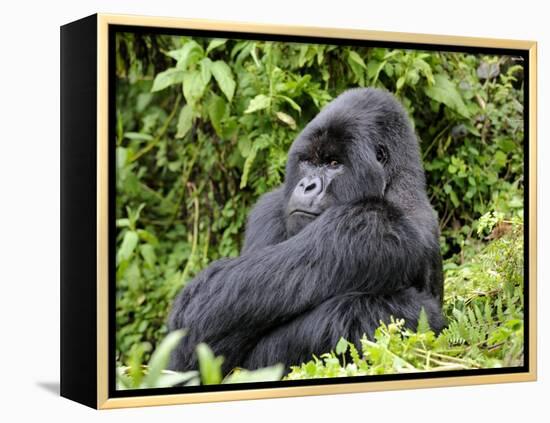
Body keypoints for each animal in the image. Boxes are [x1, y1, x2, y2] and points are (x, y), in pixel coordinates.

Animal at [169, 88, 448, 372]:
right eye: (308, 162)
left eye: (334, 163)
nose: (307, 185)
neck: (397, 186)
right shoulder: (270, 207)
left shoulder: (369, 224)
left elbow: (206, 308)